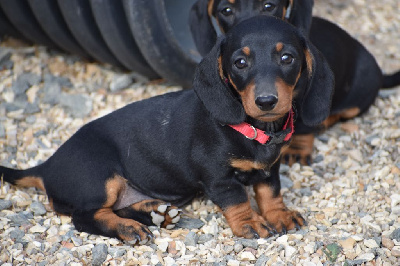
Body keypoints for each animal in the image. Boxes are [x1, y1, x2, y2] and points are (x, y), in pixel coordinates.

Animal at [0, 16, 334, 241]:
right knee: (85, 217)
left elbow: (270, 192)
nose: (266, 101)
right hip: (100, 177)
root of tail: (47, 166)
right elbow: (238, 200)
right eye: (240, 62)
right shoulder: (218, 178)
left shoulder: (270, 169)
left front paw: (279, 215)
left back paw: (155, 212)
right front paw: (249, 222)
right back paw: (129, 227)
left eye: (287, 58)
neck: (254, 129)